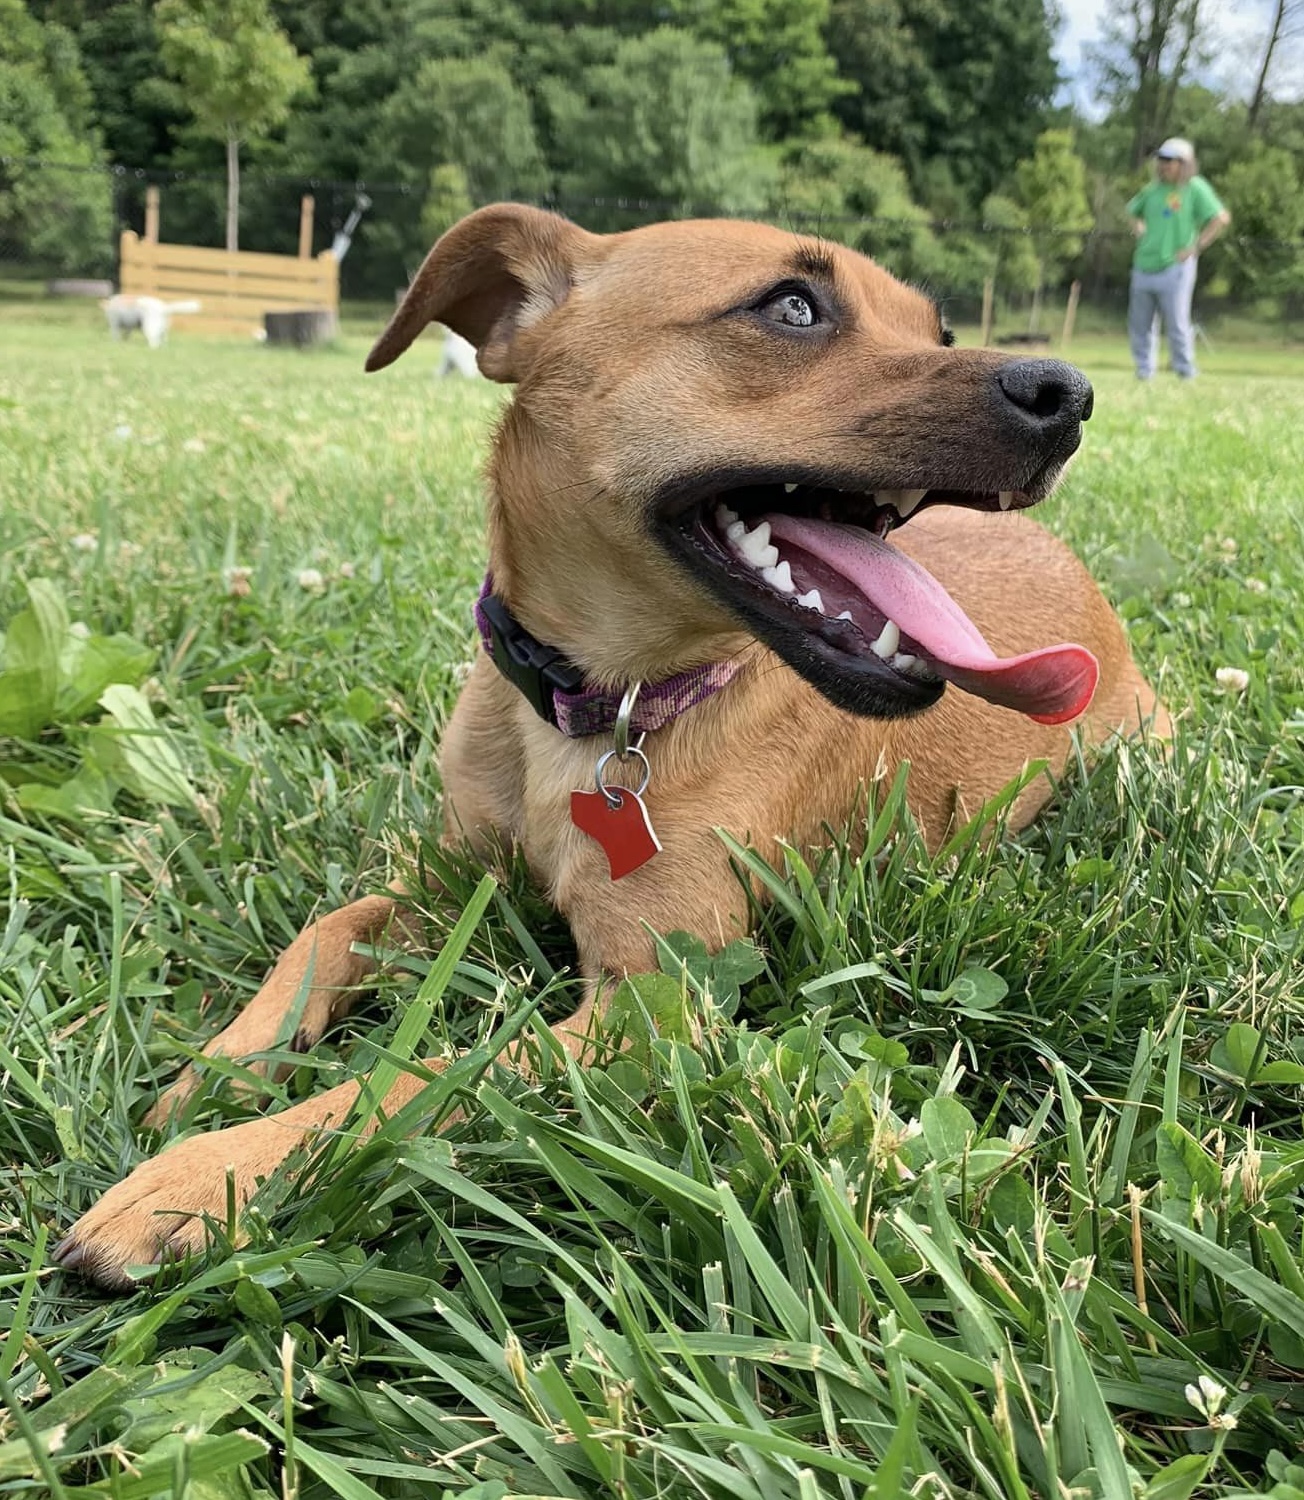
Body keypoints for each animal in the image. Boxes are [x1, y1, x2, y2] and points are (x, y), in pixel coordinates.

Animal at [55, 202, 1164, 1290]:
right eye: (792, 307)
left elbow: (422, 1075)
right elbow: (324, 930)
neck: (596, 710)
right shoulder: (452, 874)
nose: (1069, 394)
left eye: (935, 332)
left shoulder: (652, 1001)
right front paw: (221, 1069)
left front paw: (201, 1179)